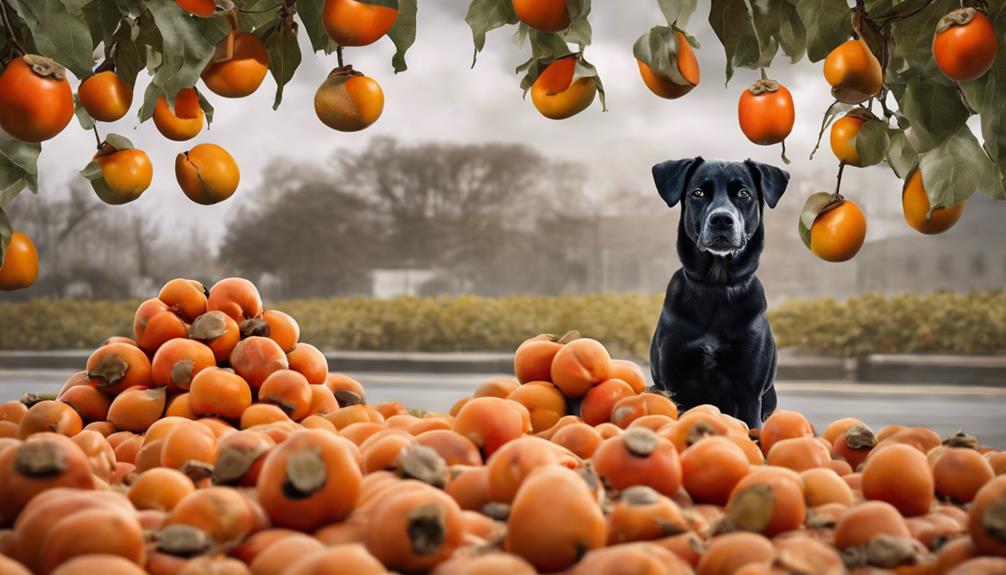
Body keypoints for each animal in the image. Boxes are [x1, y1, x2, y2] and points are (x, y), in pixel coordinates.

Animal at [647, 156, 788, 426]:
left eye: (744, 193)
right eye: (698, 193)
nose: (721, 219)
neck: (716, 286)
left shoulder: (749, 390)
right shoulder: (674, 383)